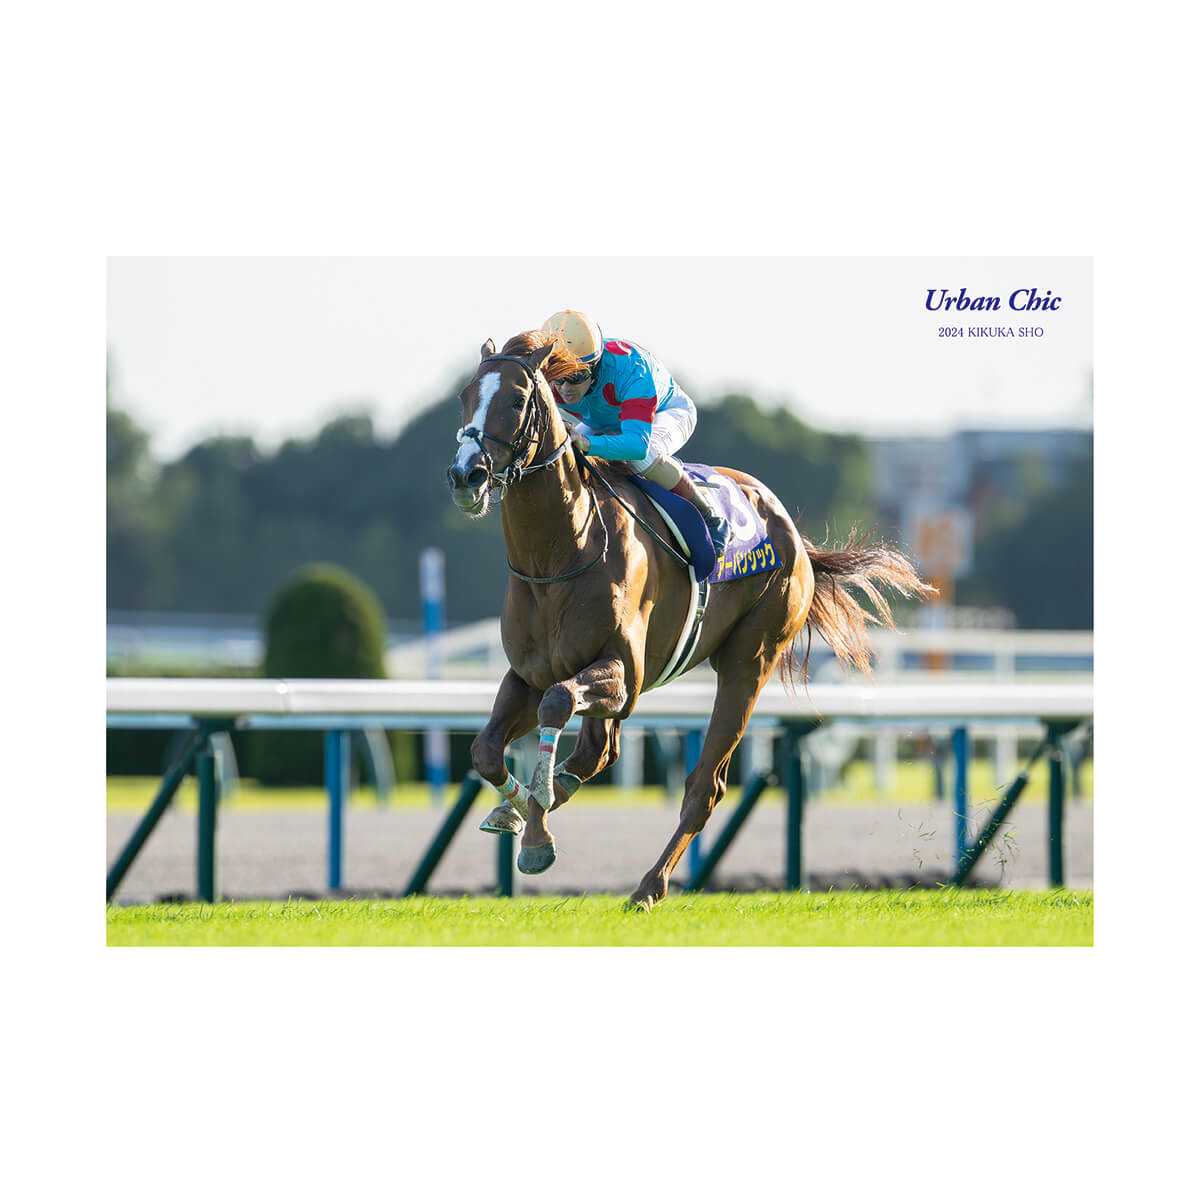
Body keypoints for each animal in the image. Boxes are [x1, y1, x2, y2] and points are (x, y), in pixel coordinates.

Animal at [446, 330, 933, 910]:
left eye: (518, 400)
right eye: (464, 397)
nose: (465, 474)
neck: (559, 553)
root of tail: (792, 529)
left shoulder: (623, 672)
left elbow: (559, 702)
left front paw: (536, 825)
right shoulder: (528, 674)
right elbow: (486, 749)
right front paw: (516, 812)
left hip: (749, 663)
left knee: (702, 785)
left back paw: (648, 886)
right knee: (599, 751)